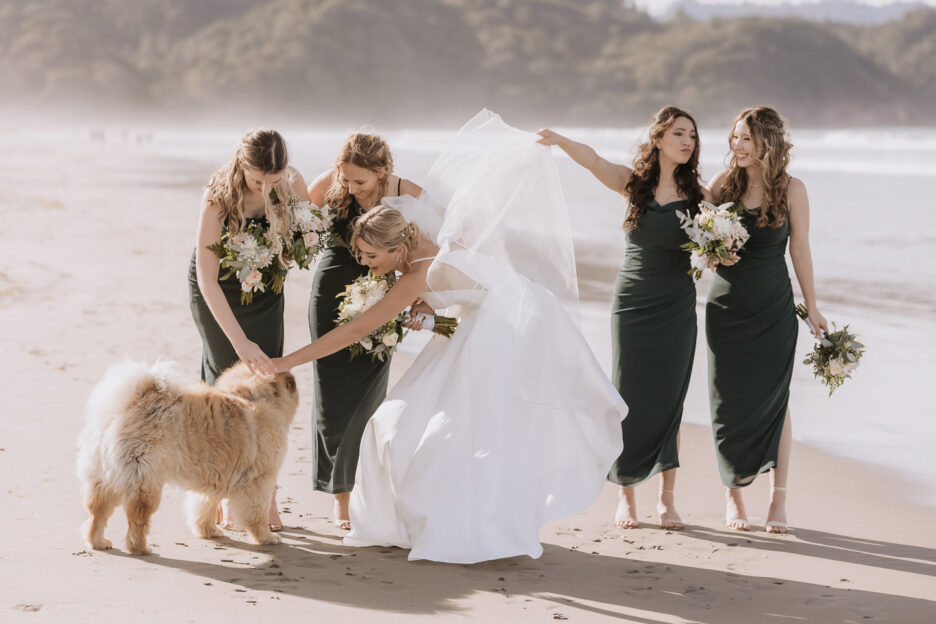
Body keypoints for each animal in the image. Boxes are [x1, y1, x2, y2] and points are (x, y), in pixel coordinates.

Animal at [76, 360, 296, 556]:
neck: (256, 398)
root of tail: (130, 406)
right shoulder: (260, 482)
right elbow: (257, 515)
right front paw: (267, 538)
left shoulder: (214, 481)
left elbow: (204, 509)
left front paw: (209, 531)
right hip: (145, 482)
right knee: (137, 519)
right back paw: (140, 548)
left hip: (106, 478)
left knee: (97, 514)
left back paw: (98, 542)